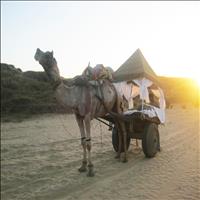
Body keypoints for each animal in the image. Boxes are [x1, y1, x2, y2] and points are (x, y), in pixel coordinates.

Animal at [34, 48, 128, 177]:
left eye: (48, 54)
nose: (37, 51)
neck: (74, 96)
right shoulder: (78, 116)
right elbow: (83, 141)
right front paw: (82, 166)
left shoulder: (87, 116)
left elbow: (88, 143)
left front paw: (91, 169)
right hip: (112, 111)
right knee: (118, 128)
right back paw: (118, 155)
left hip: (118, 107)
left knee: (122, 129)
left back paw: (125, 158)